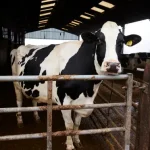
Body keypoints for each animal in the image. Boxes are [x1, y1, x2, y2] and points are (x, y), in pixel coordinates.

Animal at [9, 21, 141, 150]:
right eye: (99, 40)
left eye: (121, 42)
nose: (112, 65)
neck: (88, 88)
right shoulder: (63, 100)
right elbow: (69, 125)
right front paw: (70, 145)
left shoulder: (82, 102)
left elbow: (77, 124)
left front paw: (77, 140)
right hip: (16, 83)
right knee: (19, 102)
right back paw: (20, 120)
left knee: (34, 100)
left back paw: (36, 117)